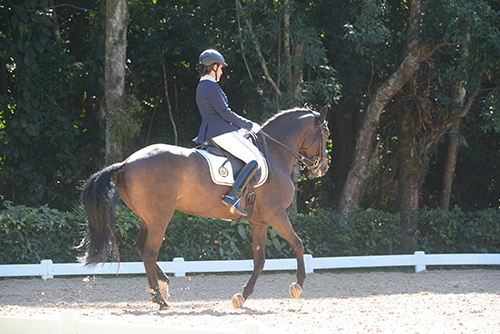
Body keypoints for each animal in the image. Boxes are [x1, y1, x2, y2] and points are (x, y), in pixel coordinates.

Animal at [78, 105, 330, 310]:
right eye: (326, 134)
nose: (323, 168)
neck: (275, 154)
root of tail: (127, 163)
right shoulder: (276, 214)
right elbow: (298, 243)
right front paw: (298, 285)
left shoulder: (259, 221)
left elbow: (259, 260)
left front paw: (243, 296)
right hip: (160, 217)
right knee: (149, 252)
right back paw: (161, 300)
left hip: (147, 218)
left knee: (140, 248)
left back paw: (162, 286)